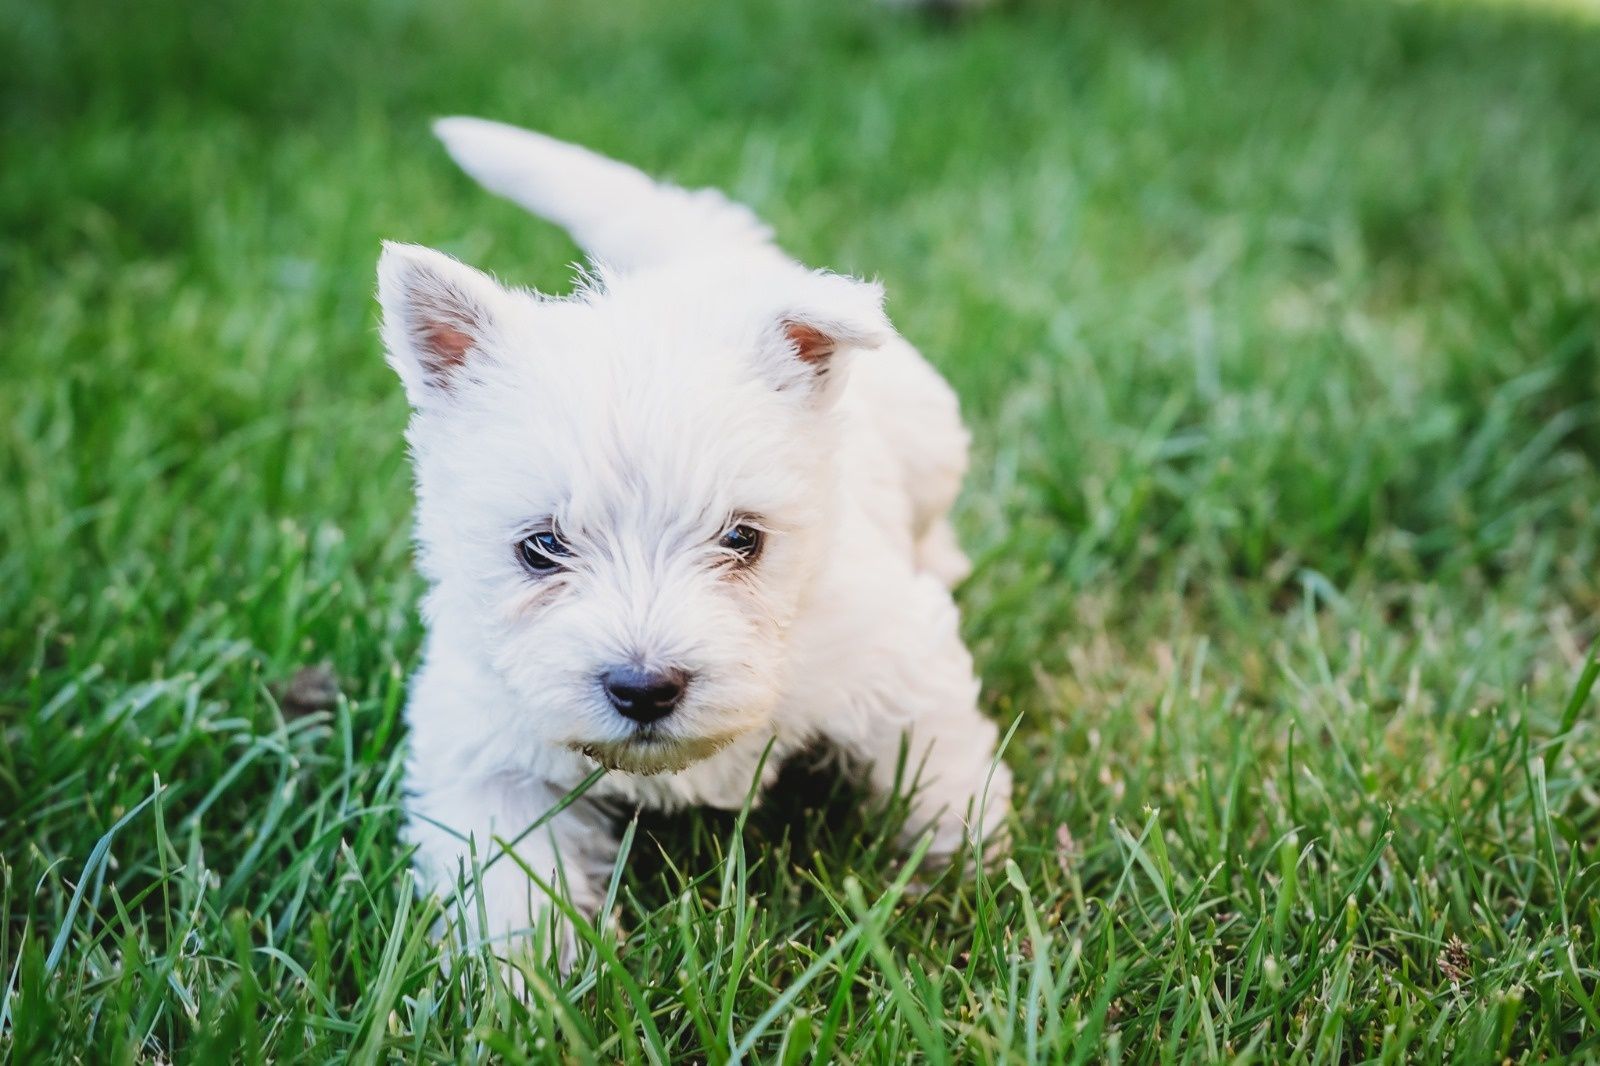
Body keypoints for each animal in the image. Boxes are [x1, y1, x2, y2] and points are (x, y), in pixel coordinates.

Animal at [380, 118, 1011, 960]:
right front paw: (526, 976)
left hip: (932, 434)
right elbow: (507, 881)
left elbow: (944, 764)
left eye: (743, 538)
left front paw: (967, 870)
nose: (644, 688)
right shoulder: (481, 751)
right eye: (540, 547)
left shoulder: (896, 654)